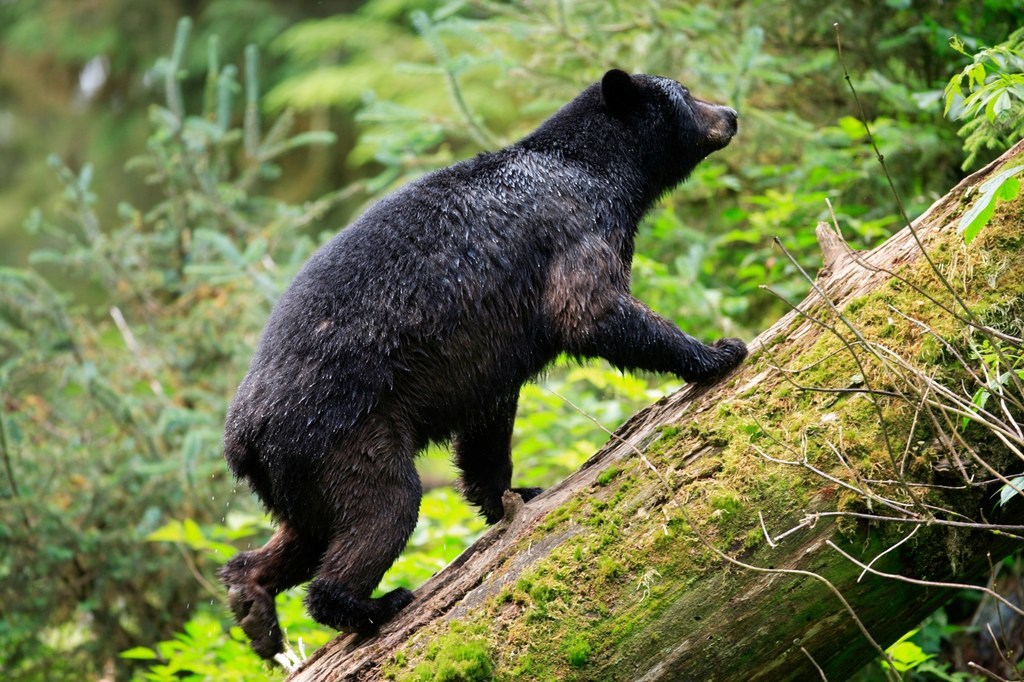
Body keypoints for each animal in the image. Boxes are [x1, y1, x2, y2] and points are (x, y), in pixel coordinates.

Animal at [220, 70, 745, 659]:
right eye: (686, 94)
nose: (731, 113)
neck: (591, 167)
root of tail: (243, 439)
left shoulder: (489, 363)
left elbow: (487, 431)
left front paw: (511, 496)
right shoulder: (572, 225)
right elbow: (590, 311)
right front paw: (716, 351)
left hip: (297, 476)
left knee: (302, 534)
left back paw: (252, 600)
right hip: (344, 437)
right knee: (384, 509)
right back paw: (369, 604)